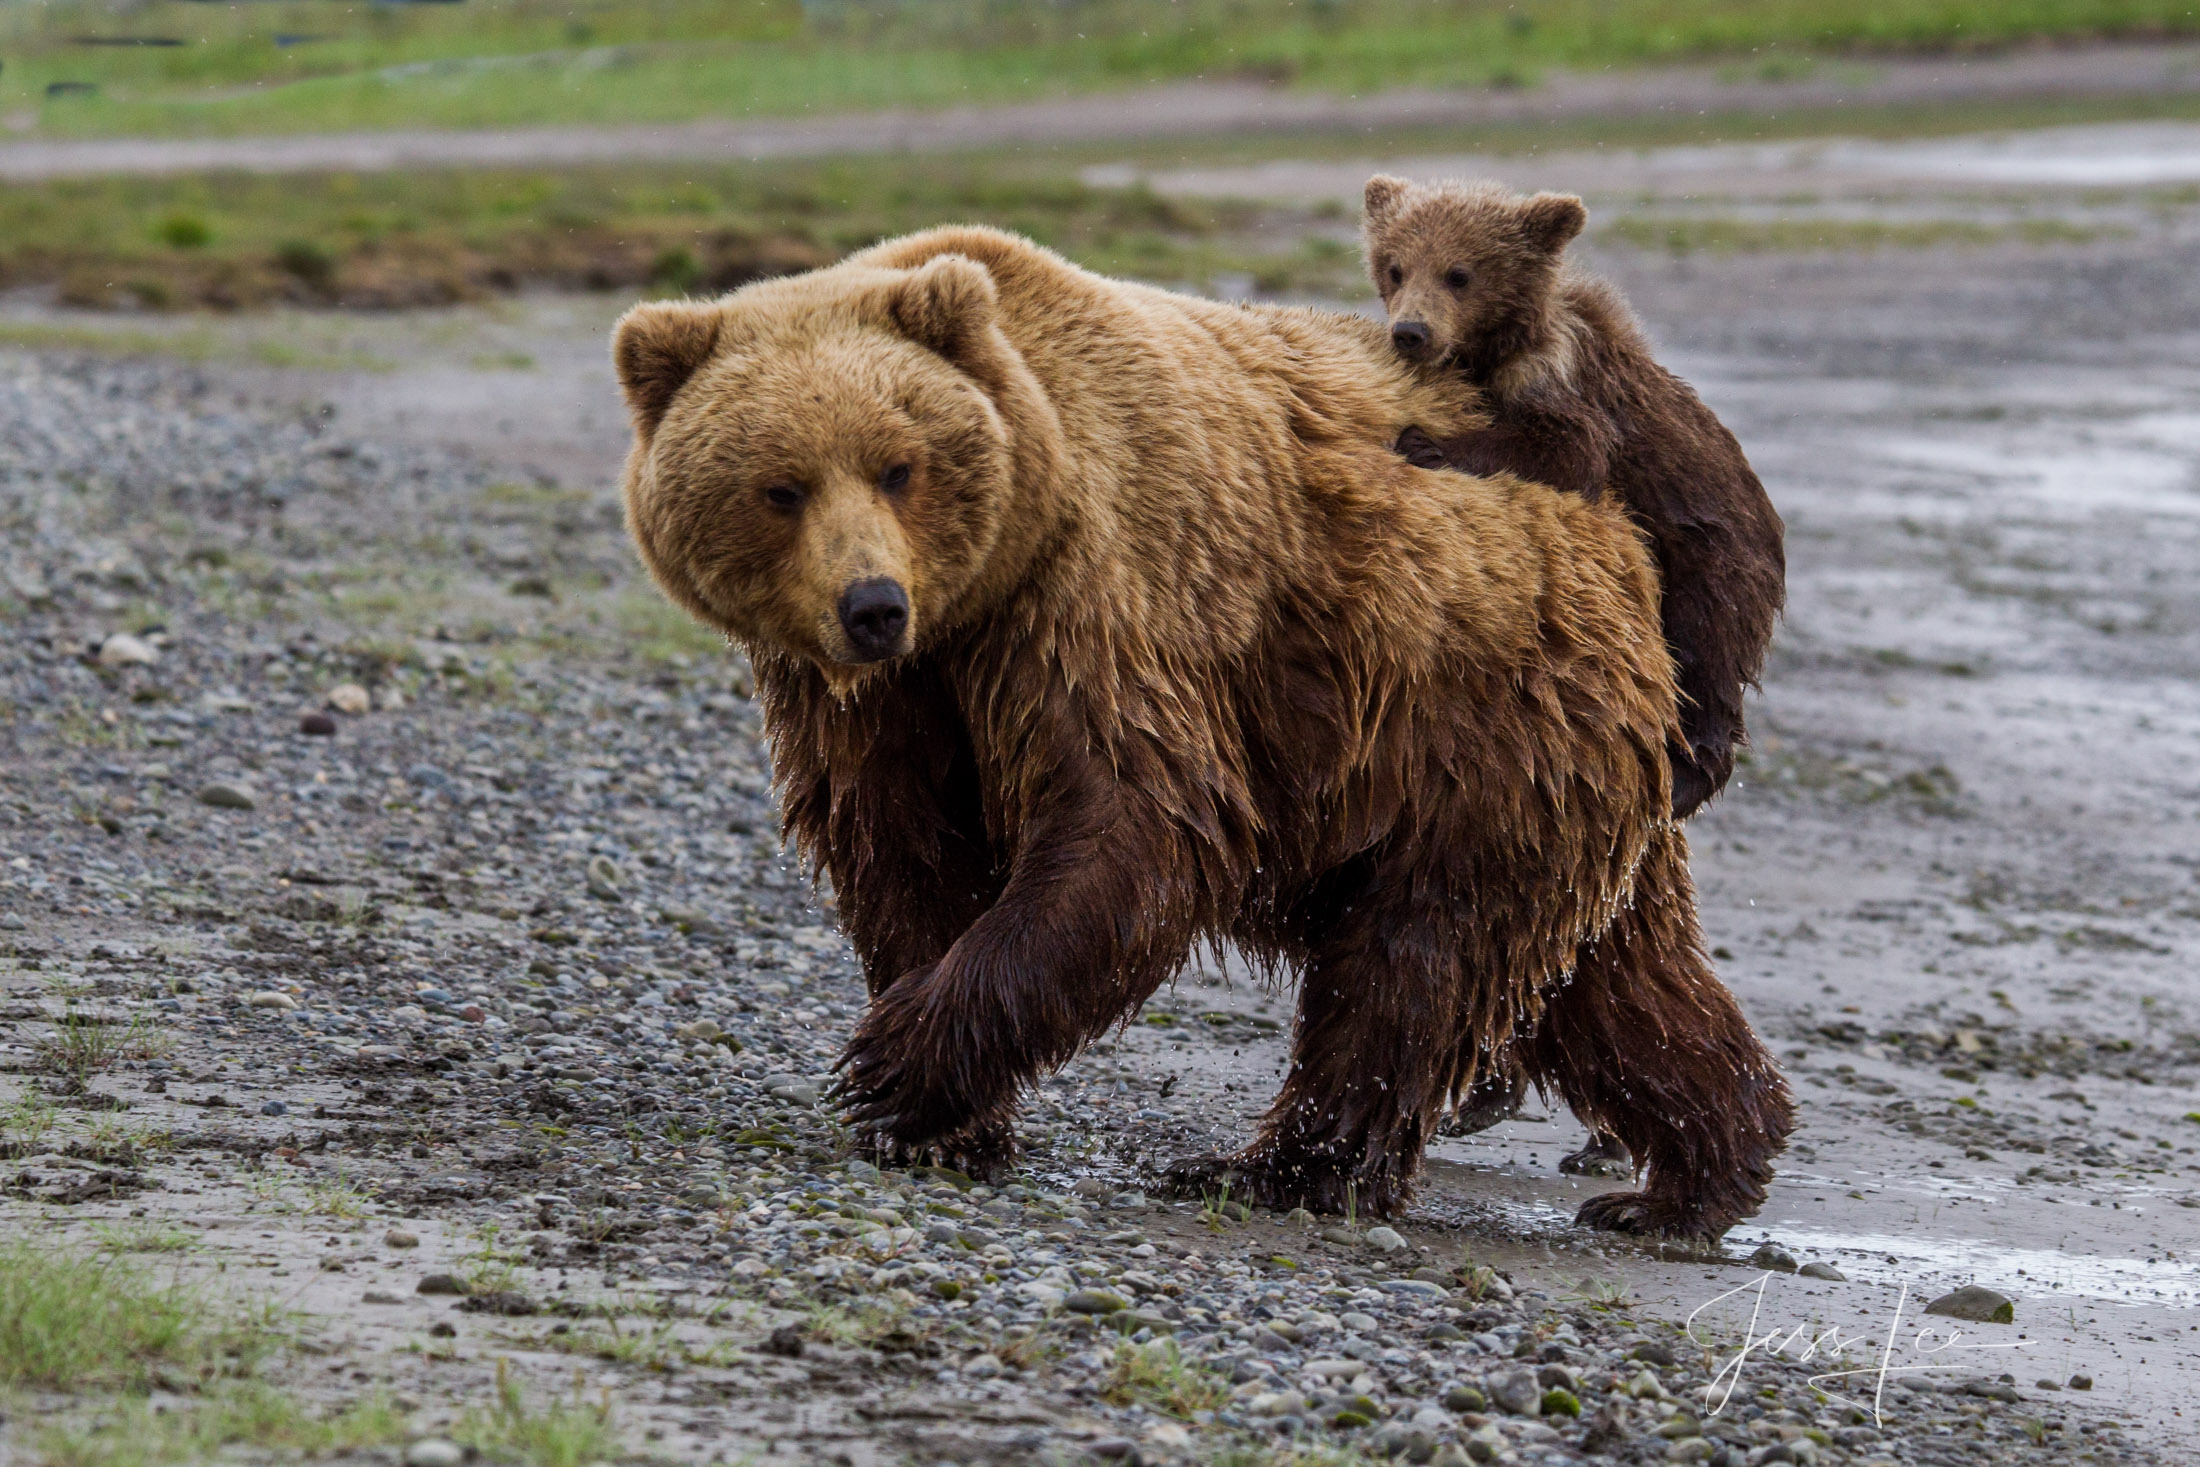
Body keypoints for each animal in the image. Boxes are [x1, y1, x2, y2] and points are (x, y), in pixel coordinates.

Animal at [611, 226, 1795, 1240]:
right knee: (1617, 980)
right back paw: (1697, 1172)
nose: (870, 605)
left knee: (1415, 964)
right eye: (780, 486)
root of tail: (1614, 538)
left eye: (900, 465)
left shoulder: (1097, 599)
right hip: (1545, 768)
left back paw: (1278, 1168)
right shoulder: (883, 701)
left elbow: (1134, 826)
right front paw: (940, 1117)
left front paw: (892, 1068)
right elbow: (899, 849)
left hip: (1478, 720)